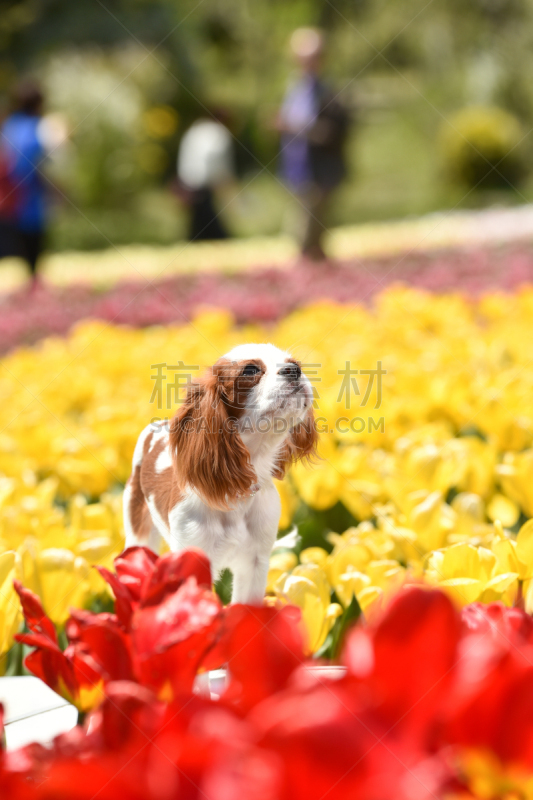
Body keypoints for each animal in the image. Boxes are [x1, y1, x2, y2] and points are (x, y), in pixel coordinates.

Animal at [124, 340, 316, 604]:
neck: (238, 489)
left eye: (294, 363)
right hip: (138, 533)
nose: (293, 370)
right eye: (250, 370)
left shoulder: (255, 563)